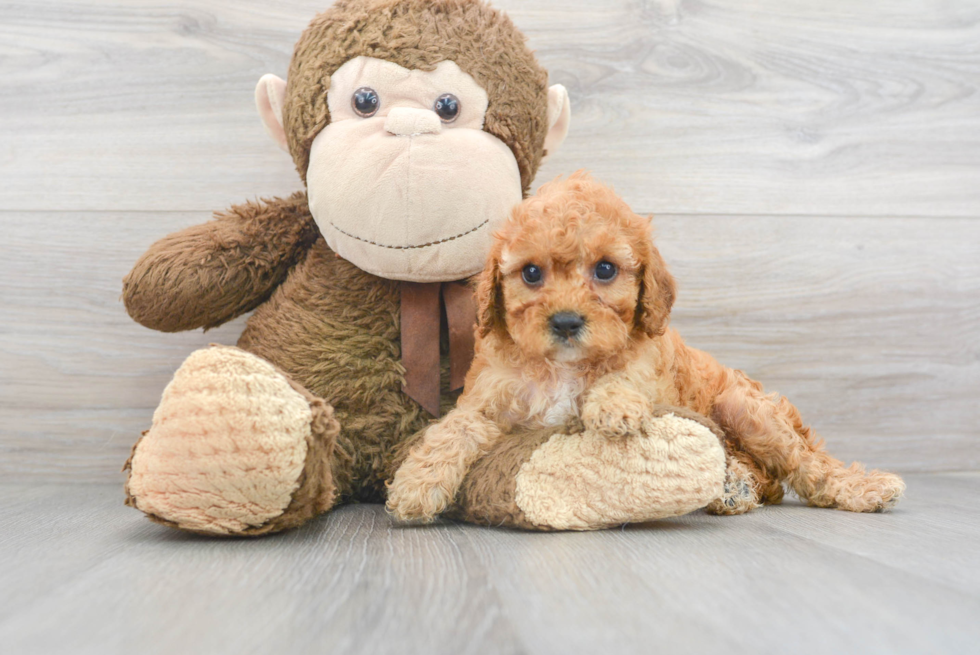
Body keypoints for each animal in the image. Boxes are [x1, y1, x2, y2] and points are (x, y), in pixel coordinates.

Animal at [386, 173, 908, 524]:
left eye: (605, 269)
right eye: (531, 273)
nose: (567, 322)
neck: (565, 368)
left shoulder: (648, 365)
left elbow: (624, 375)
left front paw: (613, 406)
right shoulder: (487, 397)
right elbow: (453, 430)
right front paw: (416, 485)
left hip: (747, 408)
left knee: (805, 463)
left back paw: (858, 488)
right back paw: (734, 488)